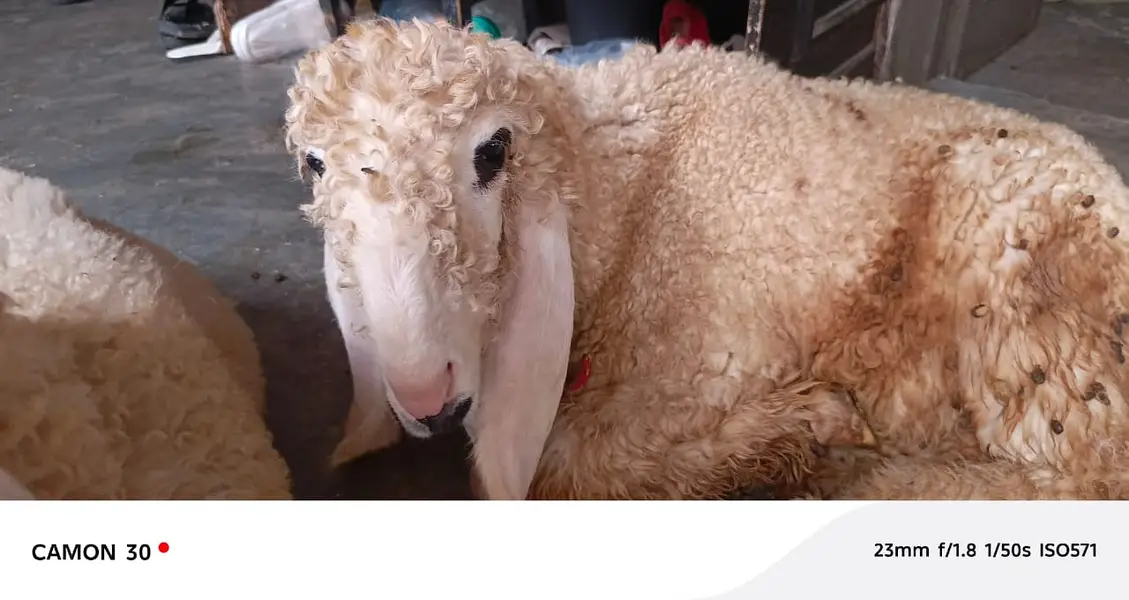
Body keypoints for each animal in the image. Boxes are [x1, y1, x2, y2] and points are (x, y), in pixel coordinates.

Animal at [284, 18, 1129, 500]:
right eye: (314, 165)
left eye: (492, 151)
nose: (426, 400)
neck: (621, 190)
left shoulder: (710, 360)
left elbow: (571, 465)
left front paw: (801, 429)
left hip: (1024, 289)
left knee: (1075, 480)